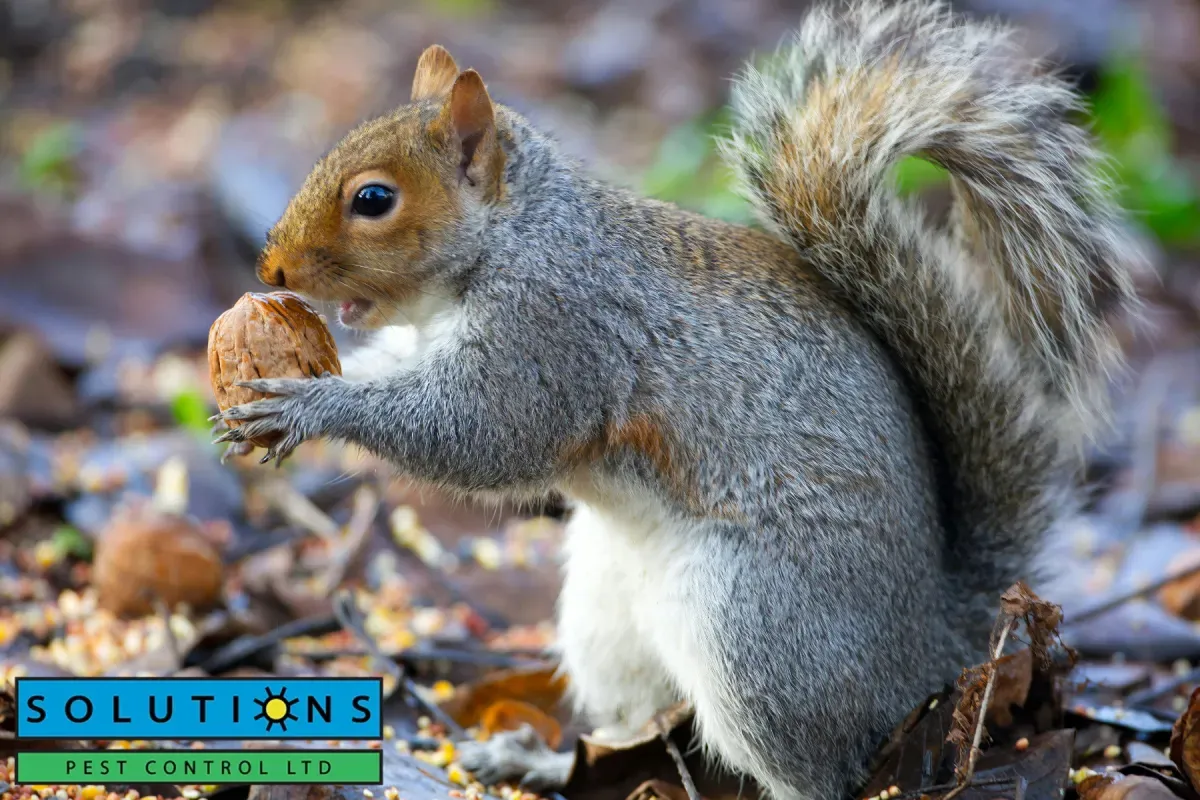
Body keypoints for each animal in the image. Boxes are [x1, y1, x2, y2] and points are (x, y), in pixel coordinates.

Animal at [216, 0, 1143, 797]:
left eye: (374, 199)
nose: (270, 270)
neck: (517, 236)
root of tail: (934, 640)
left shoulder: (555, 329)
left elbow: (484, 434)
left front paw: (307, 408)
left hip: (759, 632)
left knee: (821, 770)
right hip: (607, 621)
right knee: (639, 721)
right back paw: (540, 762)